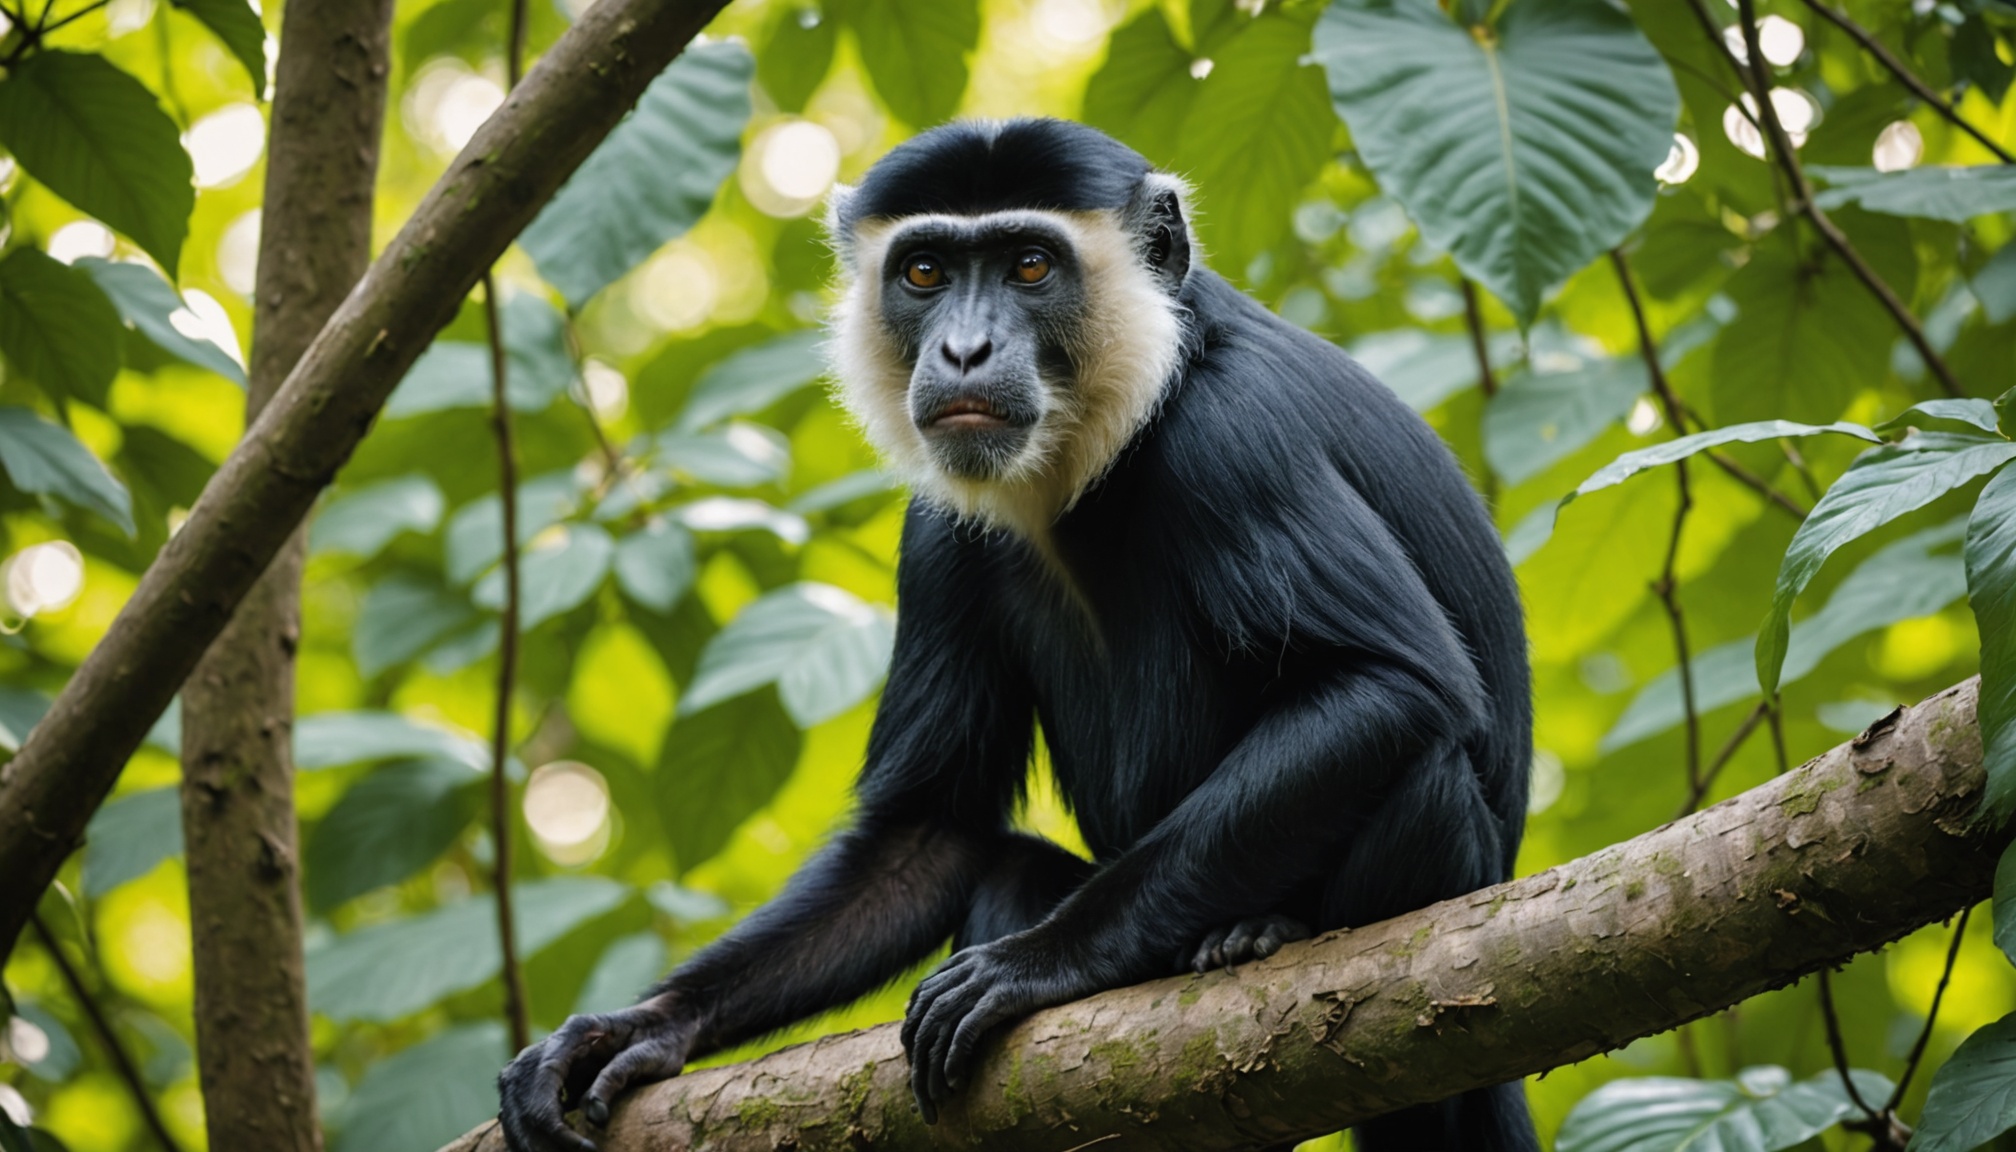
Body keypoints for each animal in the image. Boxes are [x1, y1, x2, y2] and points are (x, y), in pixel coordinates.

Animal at [498, 118, 1537, 1152]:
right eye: (924, 273)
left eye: (1031, 265)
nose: (964, 349)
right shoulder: (936, 527)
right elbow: (928, 831)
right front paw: (641, 1027)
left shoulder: (1234, 434)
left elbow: (1395, 684)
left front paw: (1037, 963)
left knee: (1424, 770)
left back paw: (1262, 932)